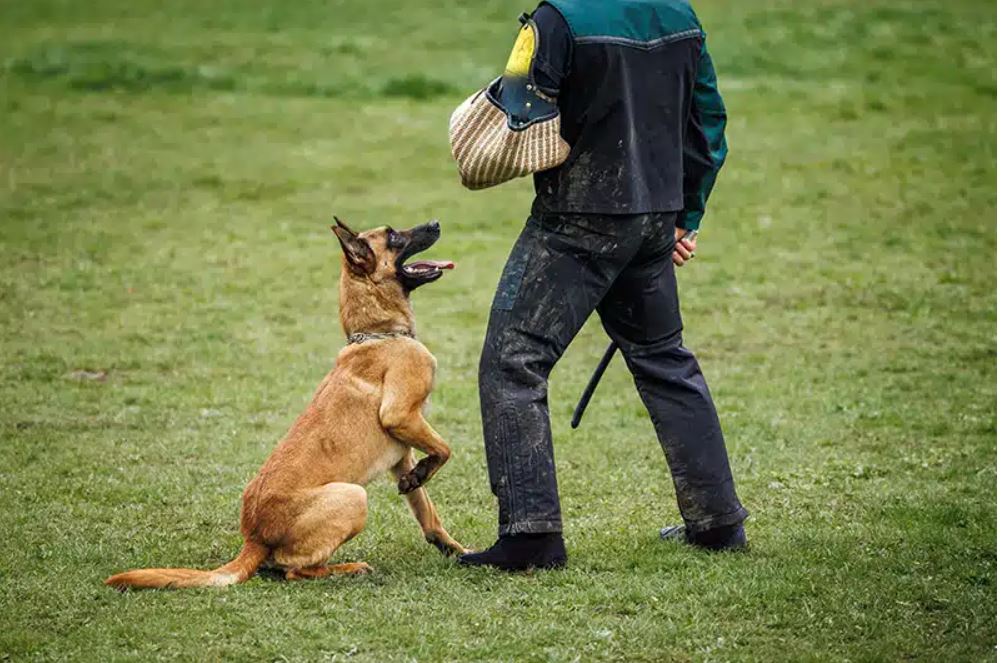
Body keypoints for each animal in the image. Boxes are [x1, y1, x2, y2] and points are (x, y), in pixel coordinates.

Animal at [107, 218, 466, 592]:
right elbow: (444, 449)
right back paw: (348, 568)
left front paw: (454, 547)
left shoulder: (401, 453)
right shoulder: (400, 416)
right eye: (394, 236)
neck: (378, 333)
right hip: (353, 497)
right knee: (295, 570)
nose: (436, 223)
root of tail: (254, 538)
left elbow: (427, 511)